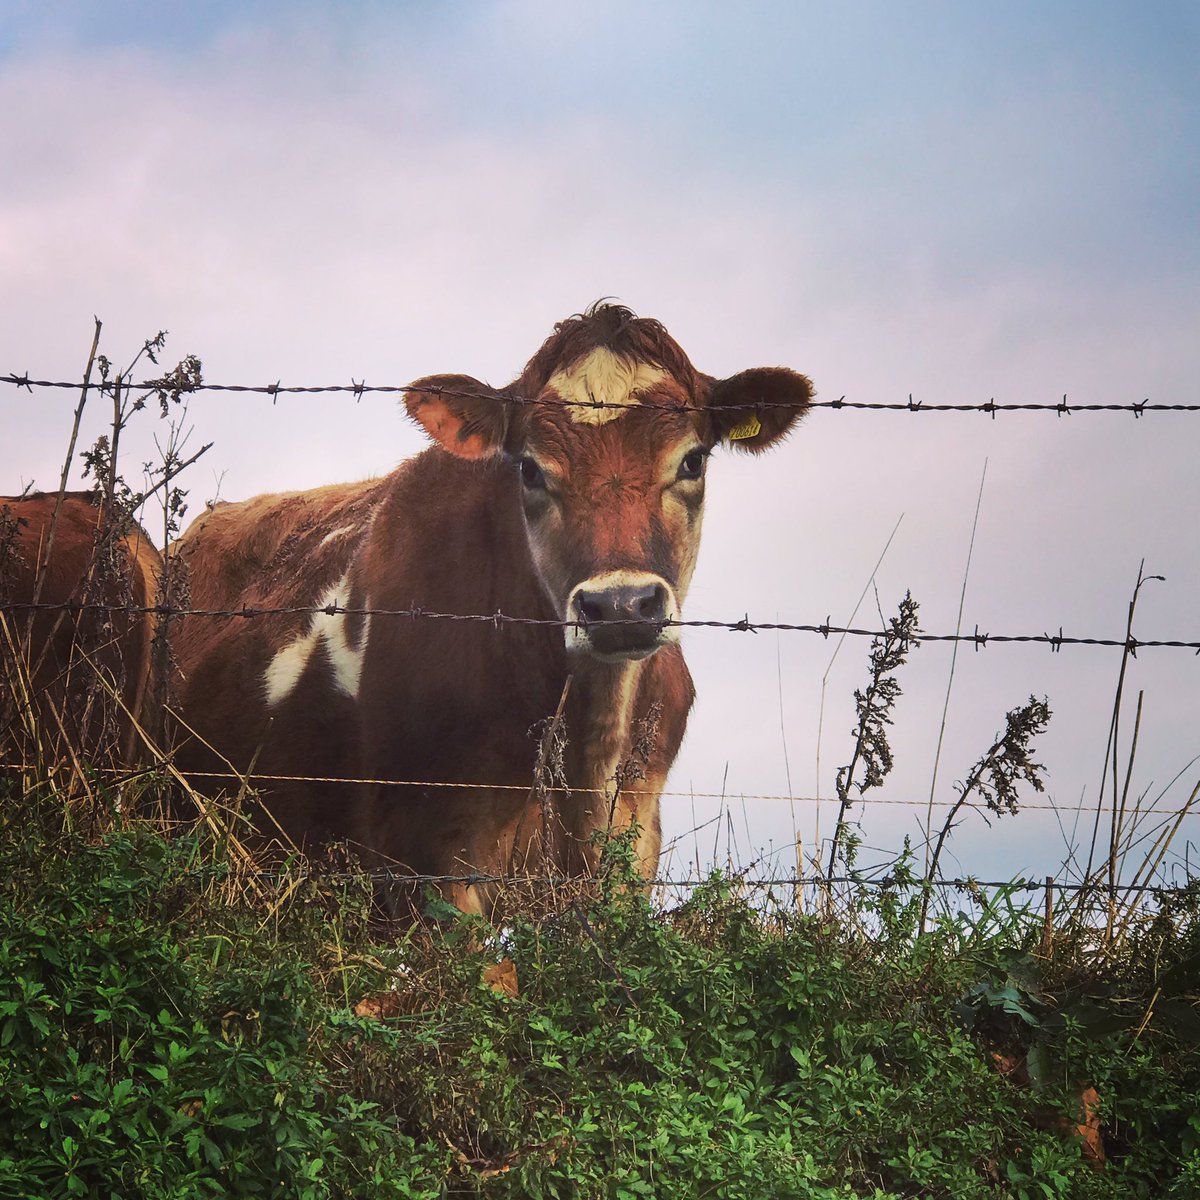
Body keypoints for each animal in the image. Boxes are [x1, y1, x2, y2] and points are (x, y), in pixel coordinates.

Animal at [171, 303, 812, 914]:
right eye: (528, 468)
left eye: (693, 461)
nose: (621, 605)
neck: (587, 756)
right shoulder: (427, 860)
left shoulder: (631, 846)